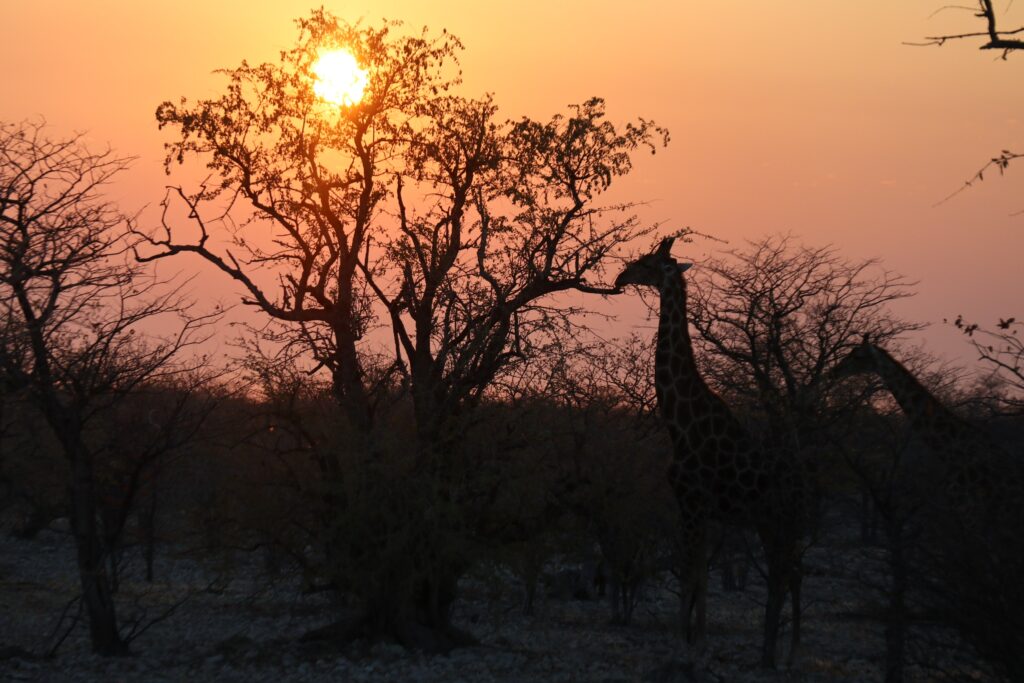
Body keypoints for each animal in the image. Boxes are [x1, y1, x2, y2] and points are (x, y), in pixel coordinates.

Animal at [614, 236, 806, 667]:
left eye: (647, 263)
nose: (619, 278)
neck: (680, 423)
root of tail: (804, 484)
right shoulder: (695, 507)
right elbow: (701, 570)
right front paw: (696, 638)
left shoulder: (691, 501)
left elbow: (690, 570)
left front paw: (682, 640)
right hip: (768, 521)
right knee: (783, 572)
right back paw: (771, 652)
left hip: (782, 518)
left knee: (793, 573)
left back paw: (789, 655)